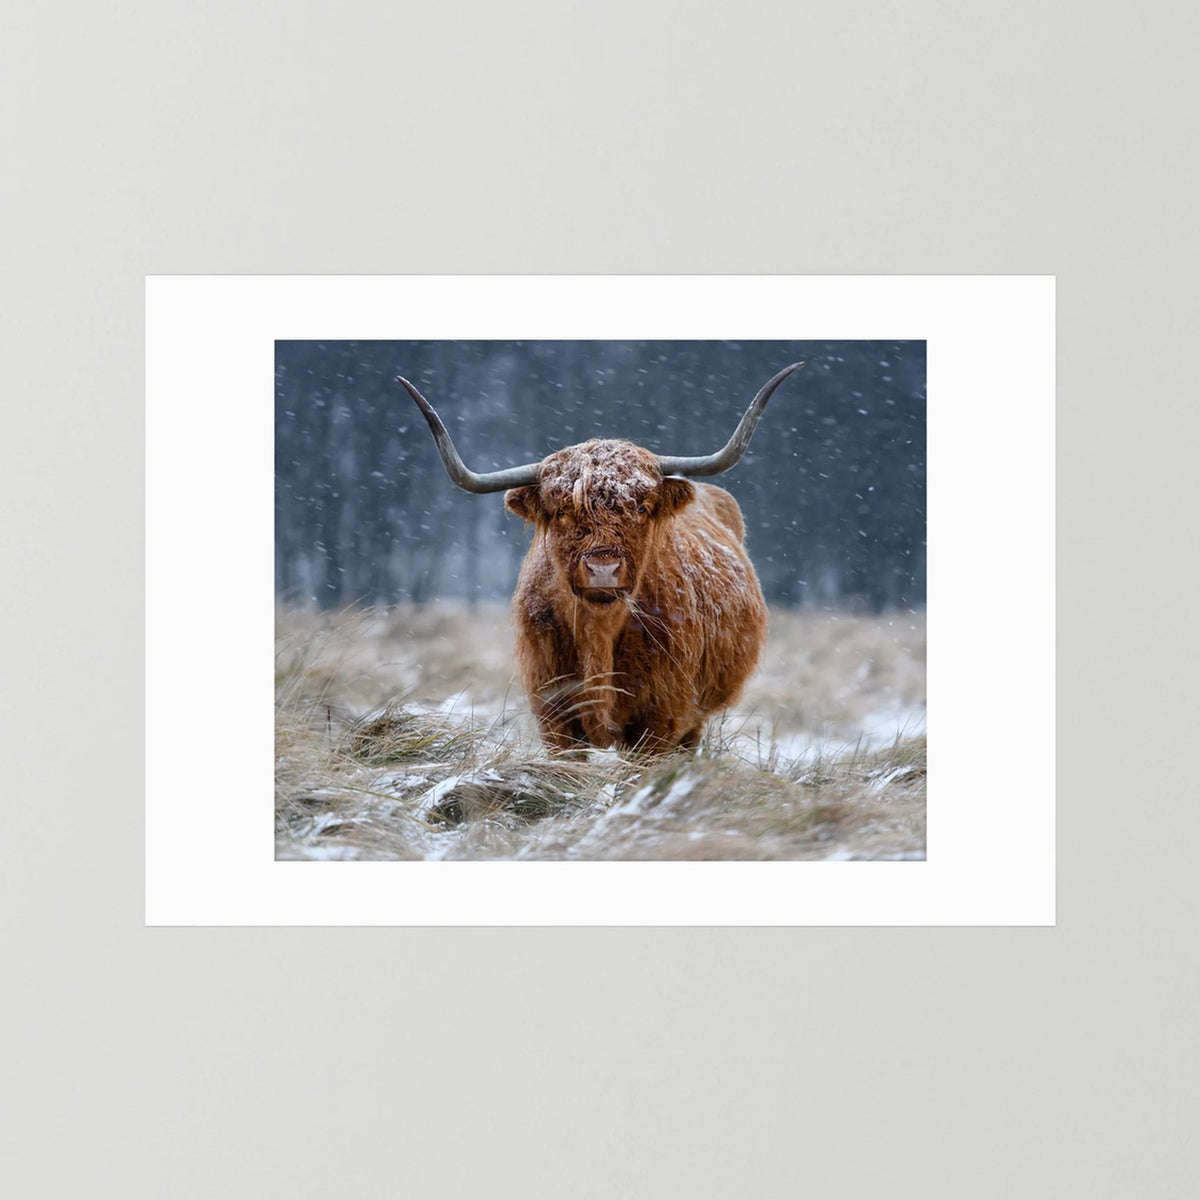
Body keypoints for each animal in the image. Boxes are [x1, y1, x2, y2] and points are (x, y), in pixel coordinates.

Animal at [397, 362, 804, 754]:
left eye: (640, 507)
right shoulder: (553, 714)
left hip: (695, 717)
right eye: (562, 511)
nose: (603, 569)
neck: (599, 633)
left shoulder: (661, 717)